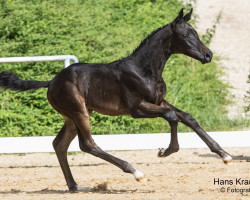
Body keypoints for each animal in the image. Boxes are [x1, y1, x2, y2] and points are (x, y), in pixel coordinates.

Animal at [0, 8, 231, 191]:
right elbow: (172, 116)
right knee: (87, 144)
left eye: (196, 33)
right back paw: (135, 172)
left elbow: (187, 117)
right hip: (78, 112)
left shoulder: (157, 101)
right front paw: (165, 152)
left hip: (73, 116)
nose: (208, 55)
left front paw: (225, 155)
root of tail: (51, 82)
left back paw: (75, 186)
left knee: (60, 144)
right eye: (184, 35)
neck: (144, 69)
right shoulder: (137, 109)